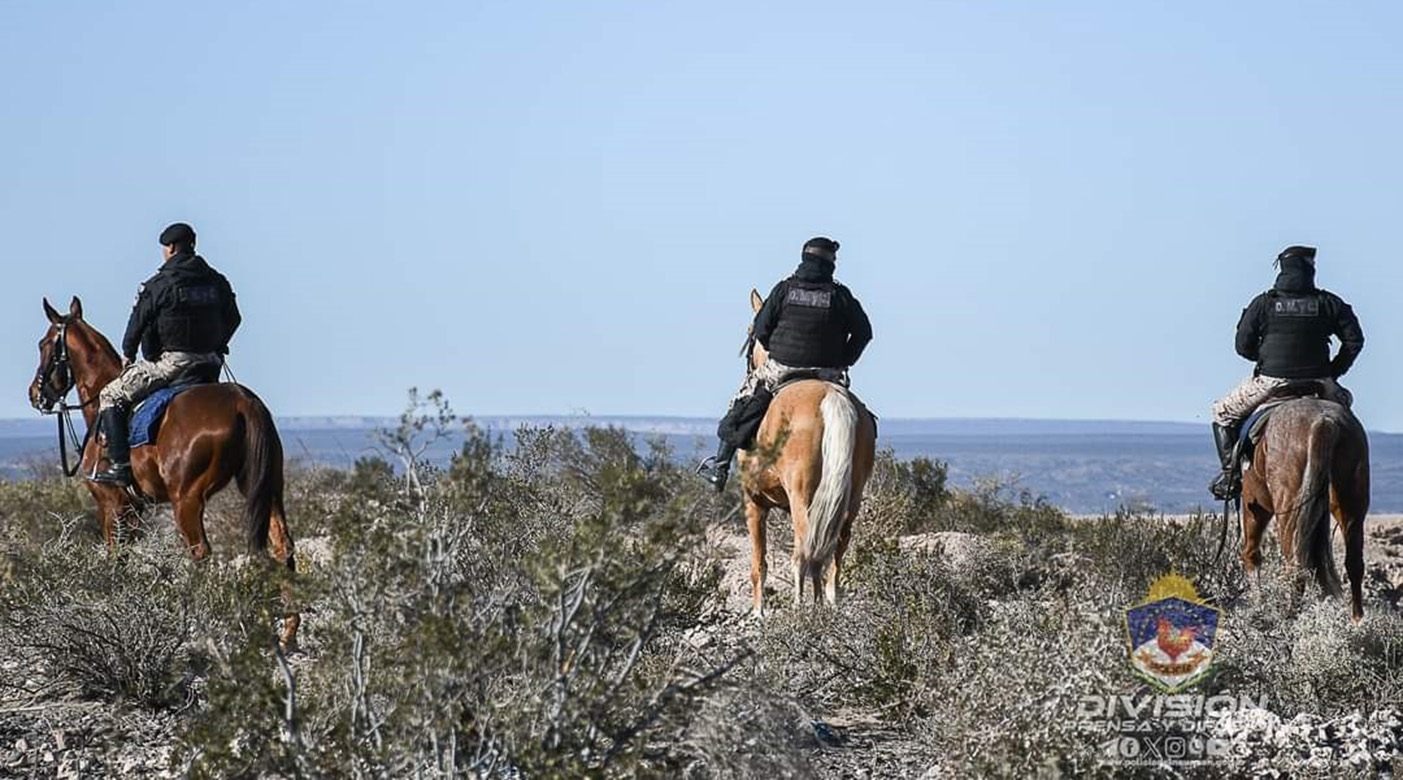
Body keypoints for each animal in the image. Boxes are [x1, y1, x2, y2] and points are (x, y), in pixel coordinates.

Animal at [29, 296, 301, 642]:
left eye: (44, 344)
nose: (35, 393)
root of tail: (243, 402)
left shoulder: (112, 505)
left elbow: (115, 558)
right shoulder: (134, 509)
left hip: (186, 499)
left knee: (201, 552)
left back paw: (200, 626)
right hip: (268, 488)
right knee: (283, 545)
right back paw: (288, 631)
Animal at [735, 286, 875, 614]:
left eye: (750, 331)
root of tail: (832, 397)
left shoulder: (754, 503)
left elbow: (758, 563)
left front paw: (759, 612)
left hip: (802, 494)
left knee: (804, 549)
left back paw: (801, 607)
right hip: (851, 496)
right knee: (834, 551)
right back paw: (828, 604)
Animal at [1240, 395, 1369, 622]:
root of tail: (1324, 422)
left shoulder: (1255, 502)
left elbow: (1251, 553)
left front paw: (1259, 604)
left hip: (1285, 511)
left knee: (1291, 565)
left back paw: (1288, 617)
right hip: (1351, 506)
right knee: (1354, 563)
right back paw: (1357, 621)